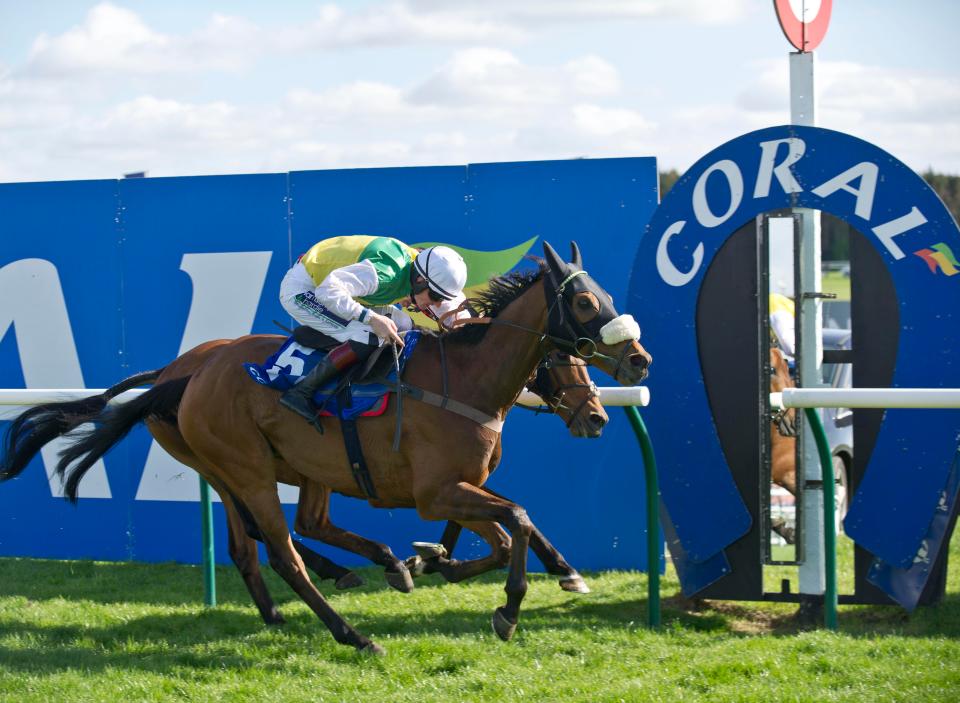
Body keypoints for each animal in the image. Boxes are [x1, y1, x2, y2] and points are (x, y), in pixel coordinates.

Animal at [0, 243, 648, 656]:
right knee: (280, 549)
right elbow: (516, 518)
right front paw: (508, 607)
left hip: (276, 469)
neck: (463, 383)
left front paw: (432, 562)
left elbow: (508, 532)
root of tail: (185, 376)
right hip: (246, 470)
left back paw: (345, 582)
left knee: (280, 533)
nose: (637, 362)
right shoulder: (436, 492)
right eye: (583, 306)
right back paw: (353, 632)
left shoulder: (458, 488)